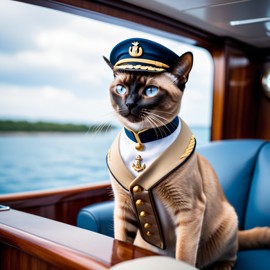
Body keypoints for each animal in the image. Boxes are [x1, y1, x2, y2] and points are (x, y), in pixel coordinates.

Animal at [104, 38, 268, 270]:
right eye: (120, 89)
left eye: (150, 91)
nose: (129, 104)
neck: (142, 142)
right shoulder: (123, 206)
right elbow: (120, 245)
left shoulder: (189, 210)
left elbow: (184, 256)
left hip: (228, 222)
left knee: (231, 253)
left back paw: (221, 266)